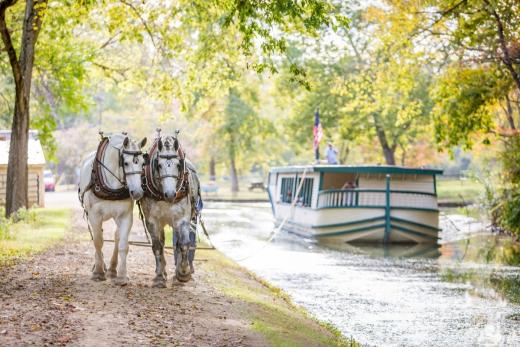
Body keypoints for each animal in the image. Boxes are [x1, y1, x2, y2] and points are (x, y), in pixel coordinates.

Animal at [79, 133, 148, 286]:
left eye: (142, 163)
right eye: (126, 163)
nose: (138, 192)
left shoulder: (125, 216)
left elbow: (123, 244)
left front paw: (122, 276)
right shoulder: (94, 215)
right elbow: (98, 241)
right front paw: (98, 272)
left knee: (116, 237)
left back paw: (112, 269)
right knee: (97, 237)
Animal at [140, 134, 201, 288]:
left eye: (178, 165)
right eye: (159, 165)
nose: (170, 194)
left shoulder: (182, 219)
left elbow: (184, 244)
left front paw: (183, 273)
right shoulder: (152, 221)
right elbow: (157, 246)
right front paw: (159, 277)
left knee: (178, 243)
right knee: (161, 243)